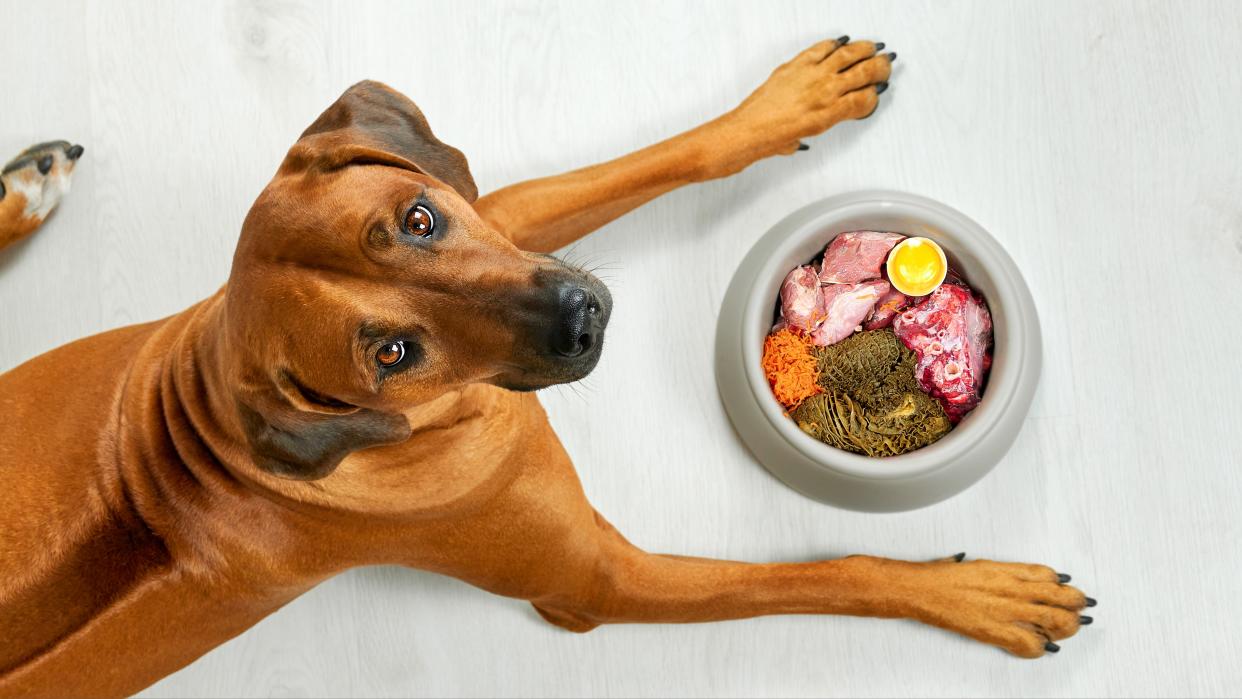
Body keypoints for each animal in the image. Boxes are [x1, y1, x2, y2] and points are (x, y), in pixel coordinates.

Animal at [0, 40, 1087, 695]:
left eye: (419, 221)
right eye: (391, 353)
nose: (580, 317)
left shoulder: (499, 216)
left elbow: (663, 158)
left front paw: (790, 101)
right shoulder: (596, 583)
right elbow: (828, 574)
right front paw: (980, 597)